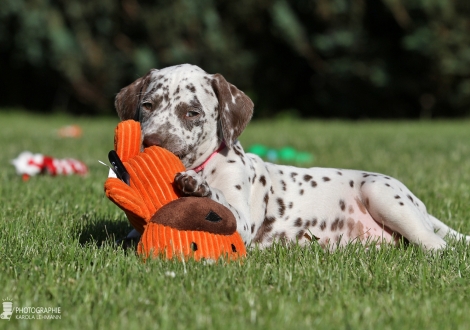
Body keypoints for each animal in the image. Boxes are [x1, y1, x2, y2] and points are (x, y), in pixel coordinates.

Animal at [114, 63, 470, 250]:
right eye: (148, 106)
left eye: (192, 112)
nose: (153, 142)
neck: (206, 164)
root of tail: (420, 207)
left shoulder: (241, 223)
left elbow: (219, 203)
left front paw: (197, 187)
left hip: (383, 195)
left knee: (438, 247)